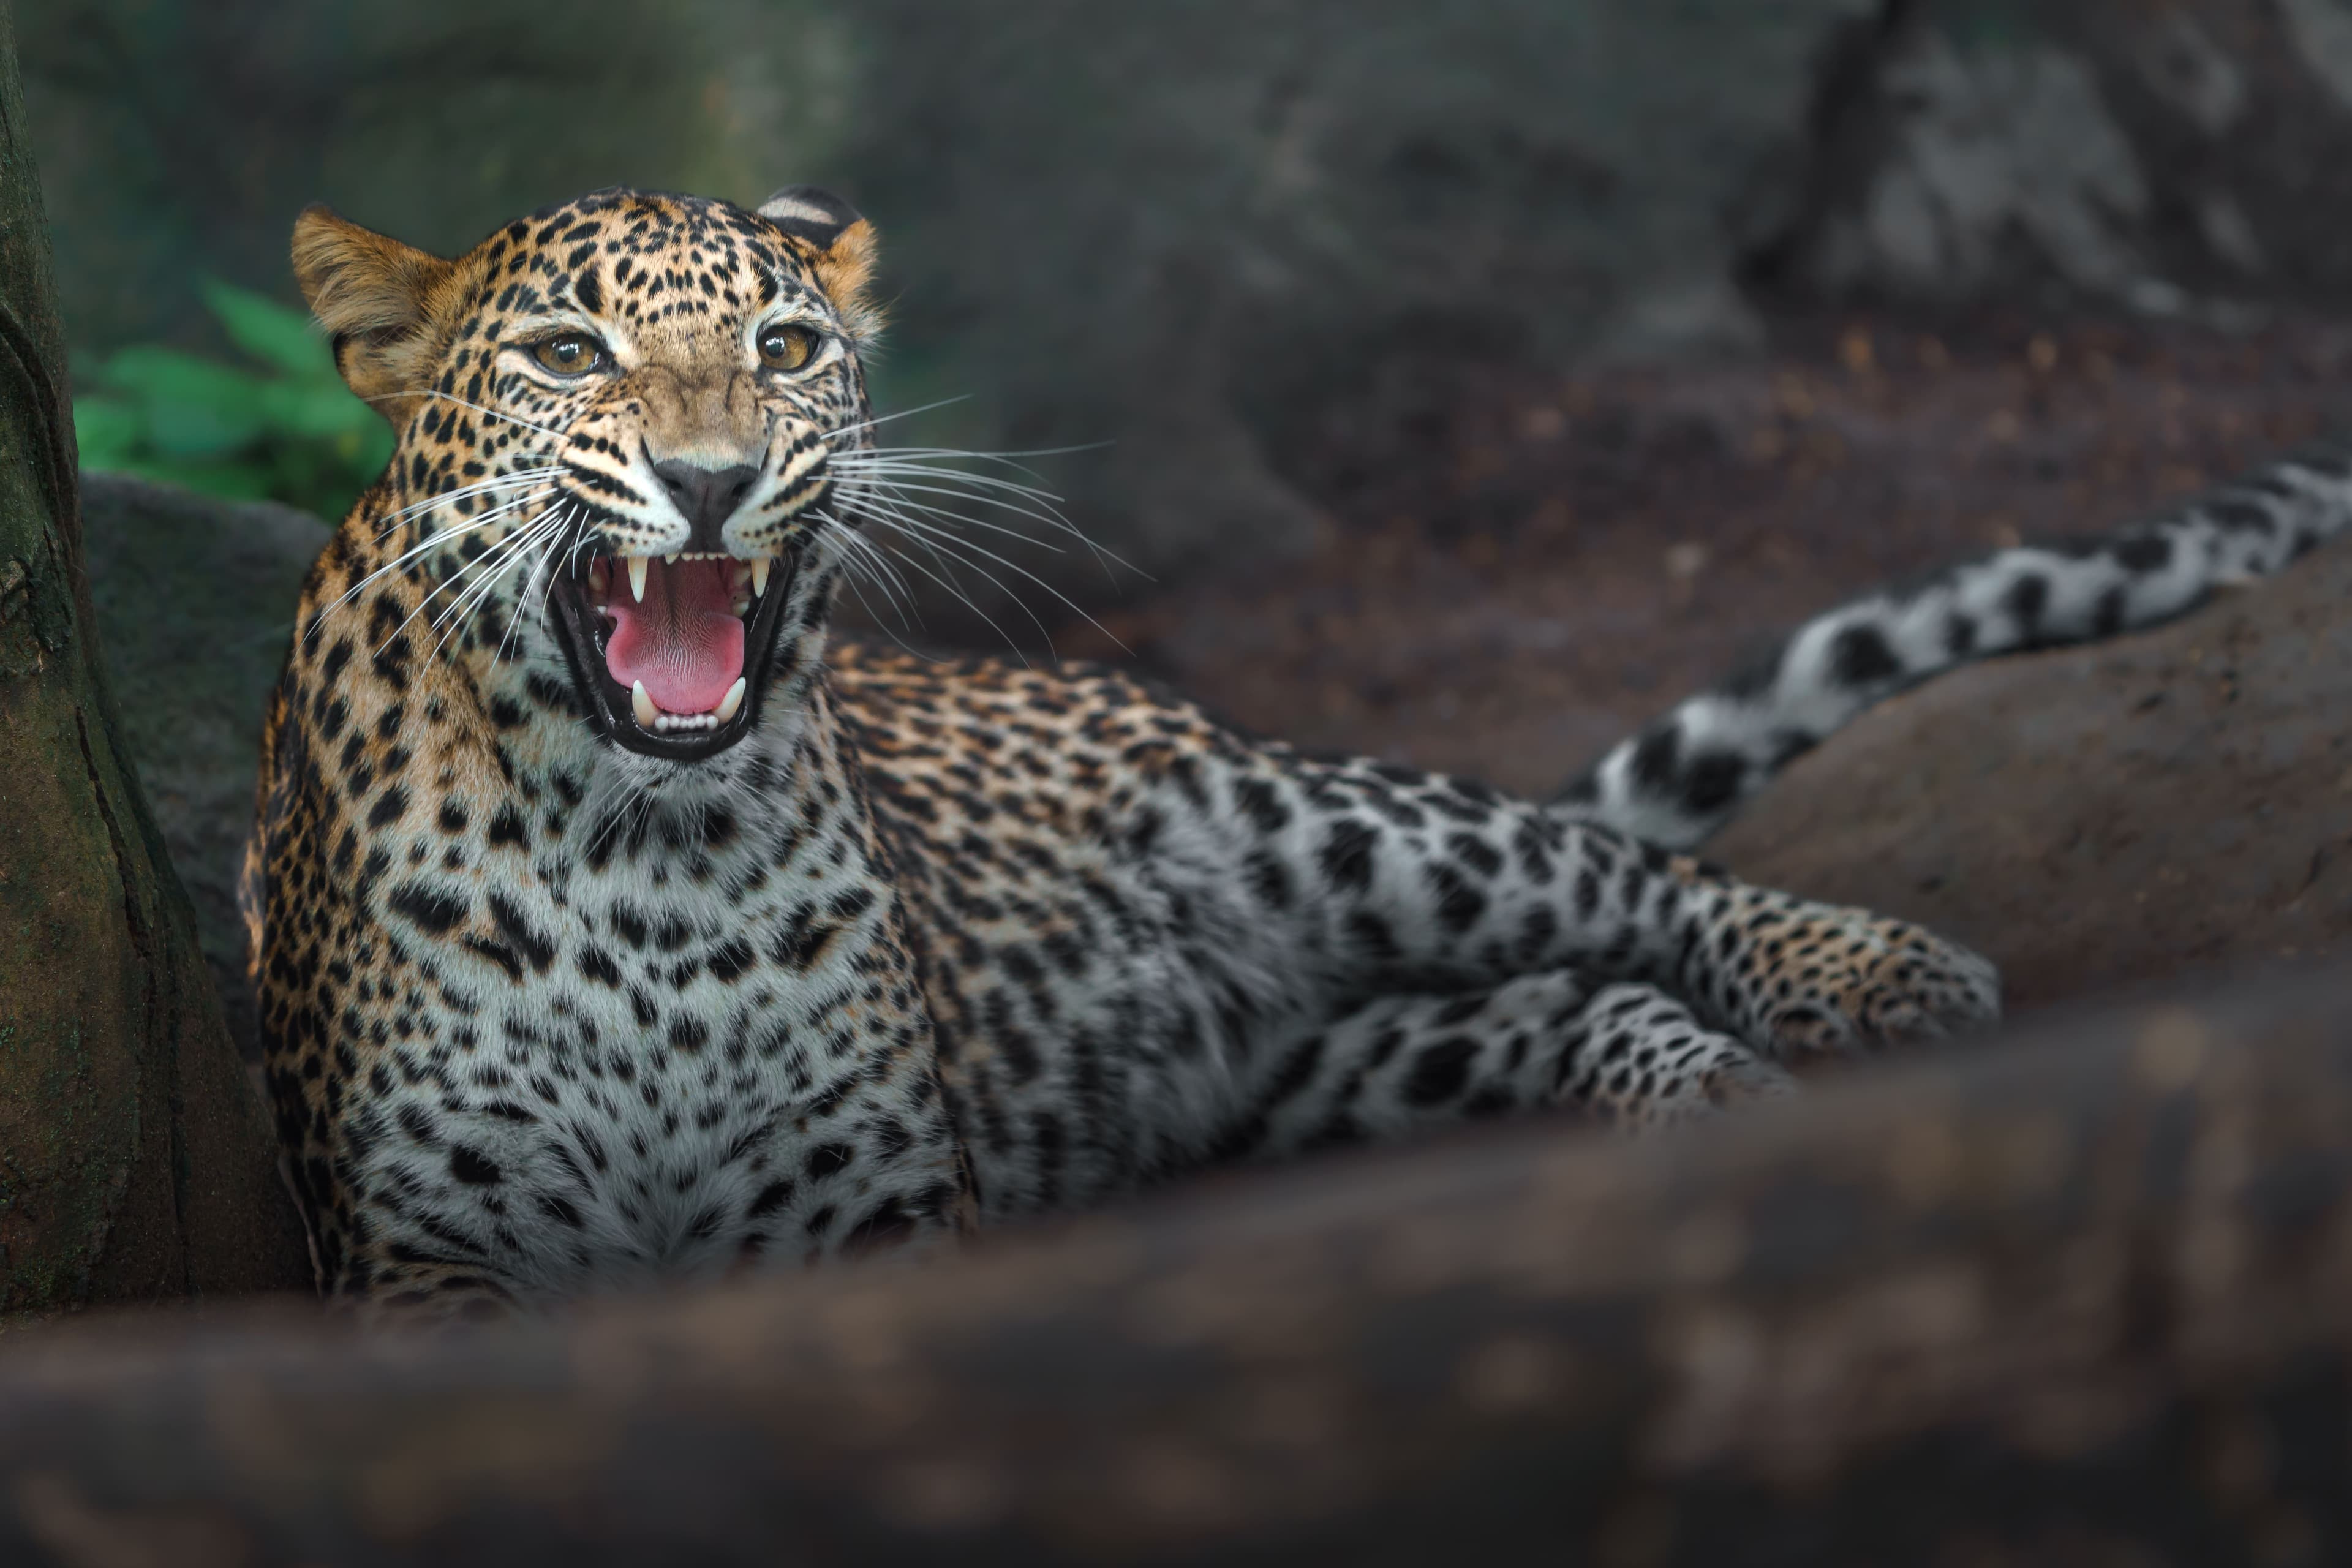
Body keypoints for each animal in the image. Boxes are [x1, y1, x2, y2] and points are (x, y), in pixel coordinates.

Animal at [241, 184, 2352, 1319]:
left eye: (782, 347)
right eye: (566, 360)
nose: (707, 479)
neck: (649, 854)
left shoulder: (871, 1211)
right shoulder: (432, 1260)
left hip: (1320, 824)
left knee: (1631, 880)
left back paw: (1867, 979)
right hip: (1300, 1075)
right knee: (1561, 997)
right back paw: (1706, 1104)